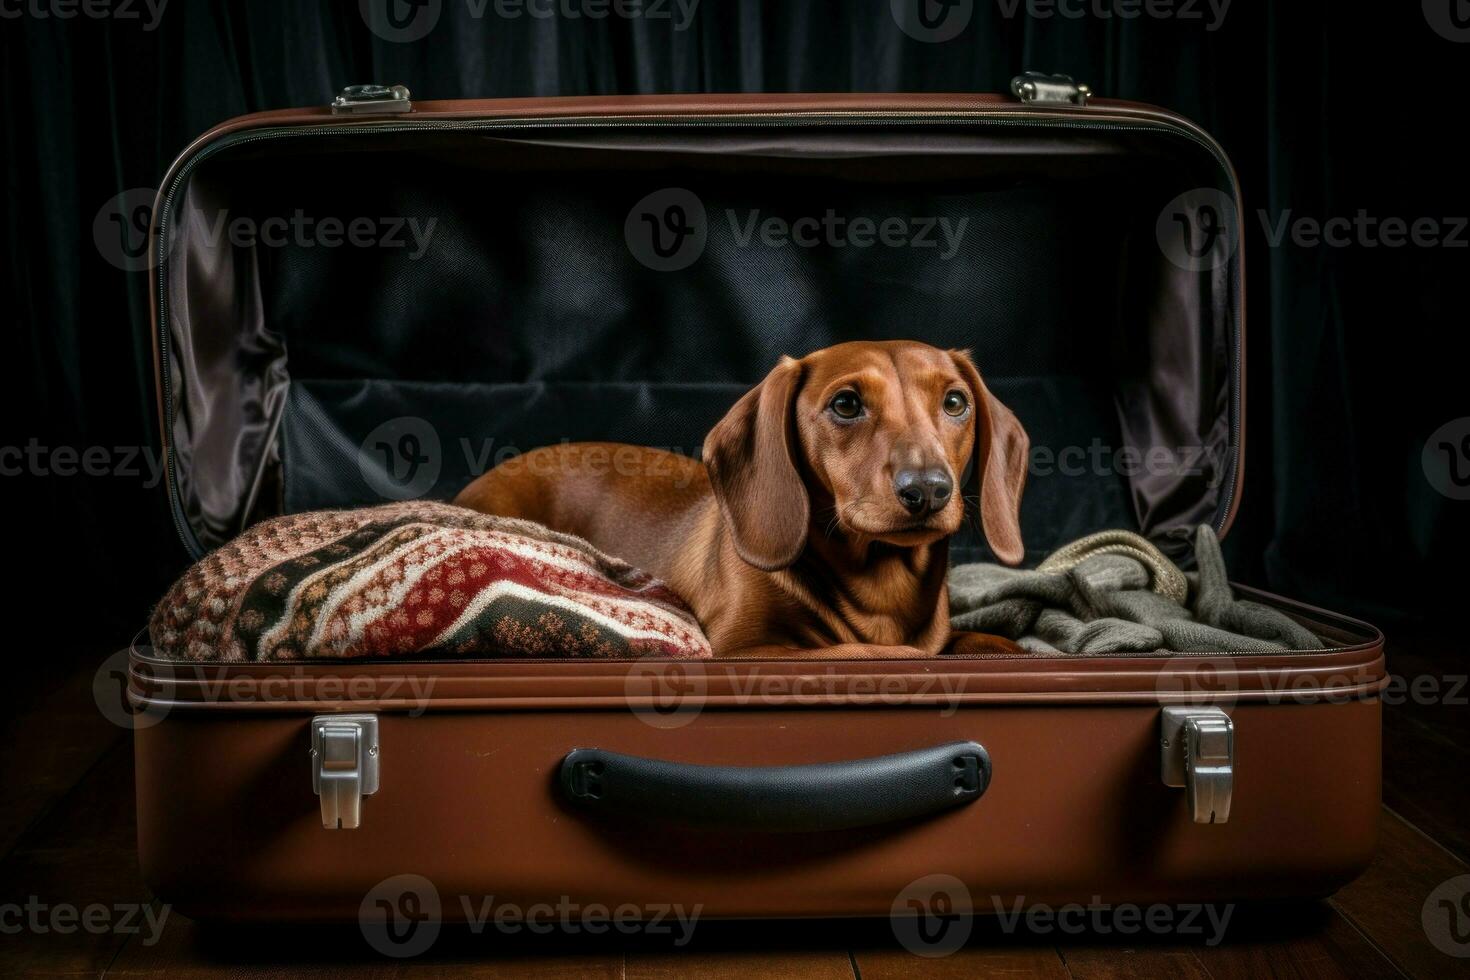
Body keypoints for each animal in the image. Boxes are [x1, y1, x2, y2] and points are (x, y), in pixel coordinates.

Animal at [452, 339, 1029, 658]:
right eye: (846, 404)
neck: (879, 584)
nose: (928, 489)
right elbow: (872, 652)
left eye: (954, 402)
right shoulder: (744, 650)